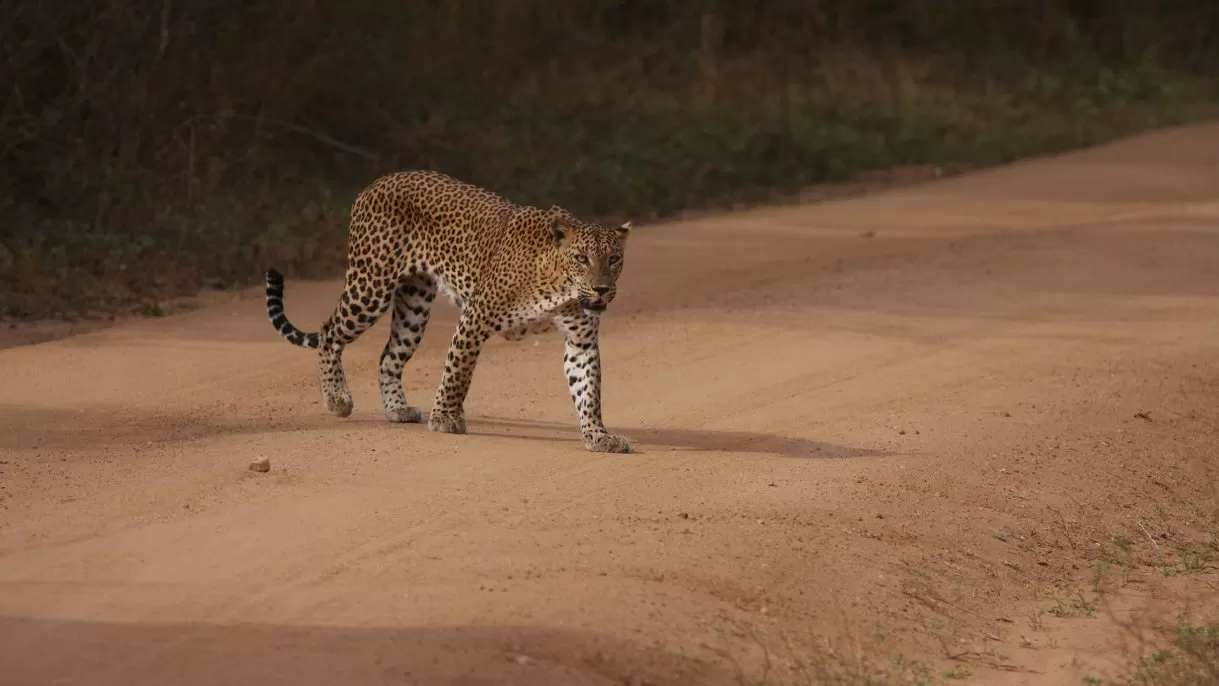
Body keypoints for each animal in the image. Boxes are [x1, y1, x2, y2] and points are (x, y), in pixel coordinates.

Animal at [262, 169, 633, 453]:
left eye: (614, 259)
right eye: (582, 258)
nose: (602, 289)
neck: (560, 288)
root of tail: (376, 183)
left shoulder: (581, 341)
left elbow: (588, 390)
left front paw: (598, 435)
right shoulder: (476, 316)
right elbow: (458, 371)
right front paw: (445, 417)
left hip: (413, 305)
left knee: (388, 356)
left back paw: (397, 409)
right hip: (370, 288)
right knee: (329, 332)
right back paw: (336, 398)